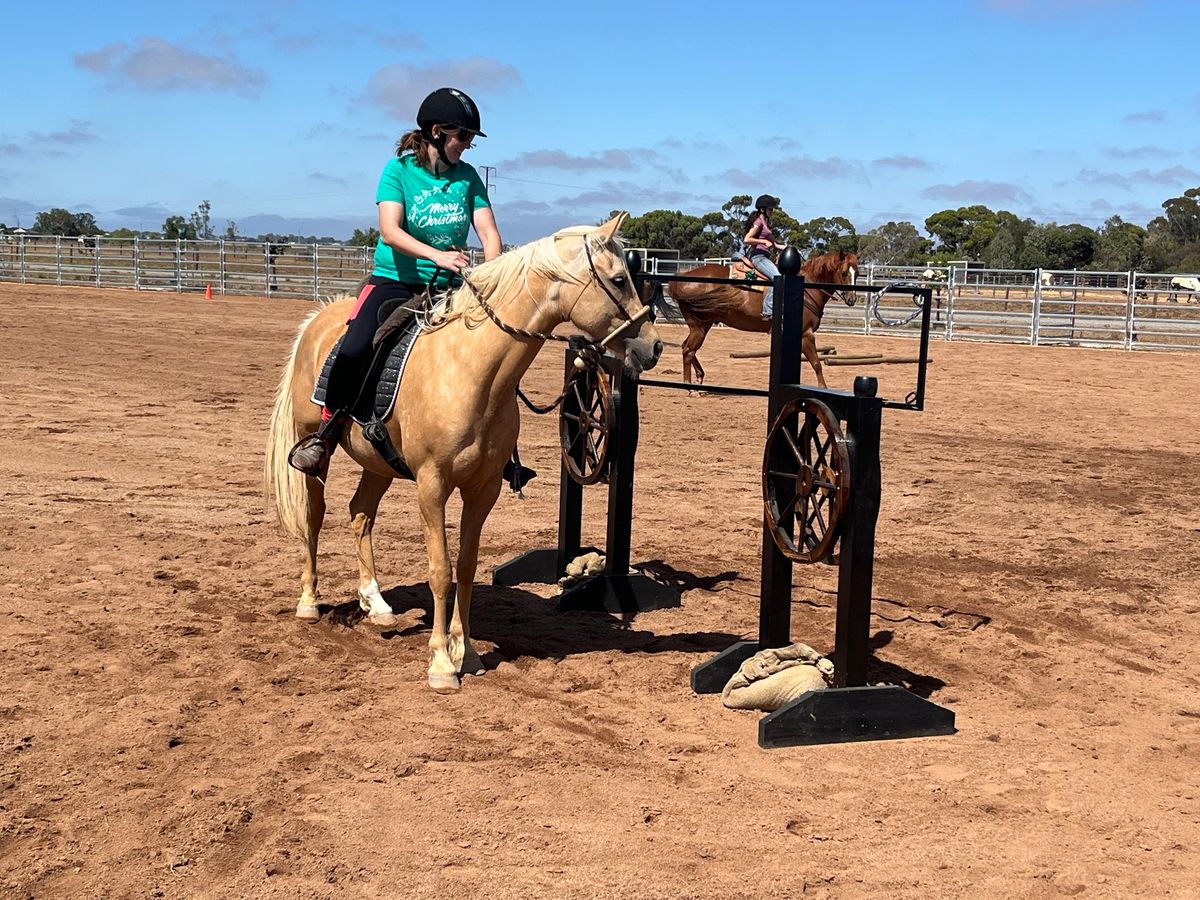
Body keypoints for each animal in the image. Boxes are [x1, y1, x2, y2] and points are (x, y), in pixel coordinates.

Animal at [265, 214, 667, 696]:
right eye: (619, 279)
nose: (654, 346)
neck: (473, 370)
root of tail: (318, 318)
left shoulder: (483, 488)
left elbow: (467, 566)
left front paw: (468, 653)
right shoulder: (432, 485)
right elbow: (440, 570)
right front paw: (441, 663)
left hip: (379, 464)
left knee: (360, 512)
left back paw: (375, 603)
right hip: (313, 446)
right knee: (313, 516)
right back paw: (309, 601)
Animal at [662, 250, 859, 388]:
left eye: (857, 272)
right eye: (843, 272)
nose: (852, 299)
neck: (805, 290)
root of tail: (680, 278)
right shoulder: (805, 334)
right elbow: (817, 363)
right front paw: (823, 388)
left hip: (703, 325)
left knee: (686, 347)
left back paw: (699, 376)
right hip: (699, 325)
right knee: (688, 350)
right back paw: (689, 387)